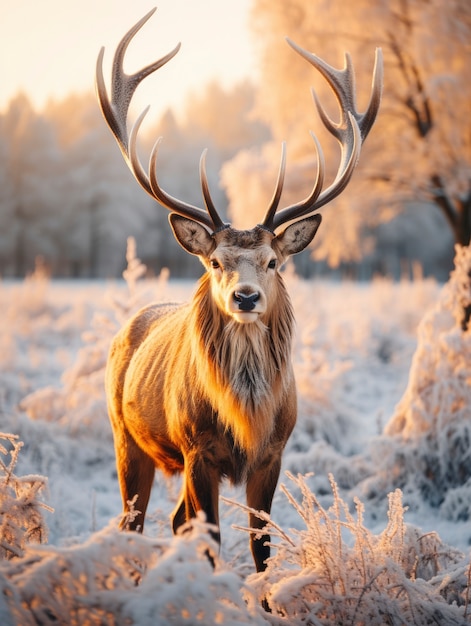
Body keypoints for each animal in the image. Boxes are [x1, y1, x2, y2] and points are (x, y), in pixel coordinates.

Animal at [97, 7, 384, 572]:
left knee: (172, 521)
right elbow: (209, 535)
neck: (245, 415)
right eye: (215, 262)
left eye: (273, 262)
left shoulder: (274, 452)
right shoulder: (196, 448)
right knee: (134, 521)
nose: (245, 297)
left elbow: (261, 542)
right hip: (125, 435)